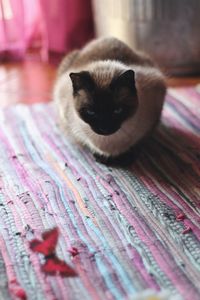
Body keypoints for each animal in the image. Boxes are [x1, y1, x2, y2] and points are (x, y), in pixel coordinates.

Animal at [52, 37, 166, 165]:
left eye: (117, 110)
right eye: (91, 112)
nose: (104, 128)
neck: (107, 144)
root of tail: (105, 38)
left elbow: (138, 143)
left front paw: (127, 158)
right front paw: (100, 157)